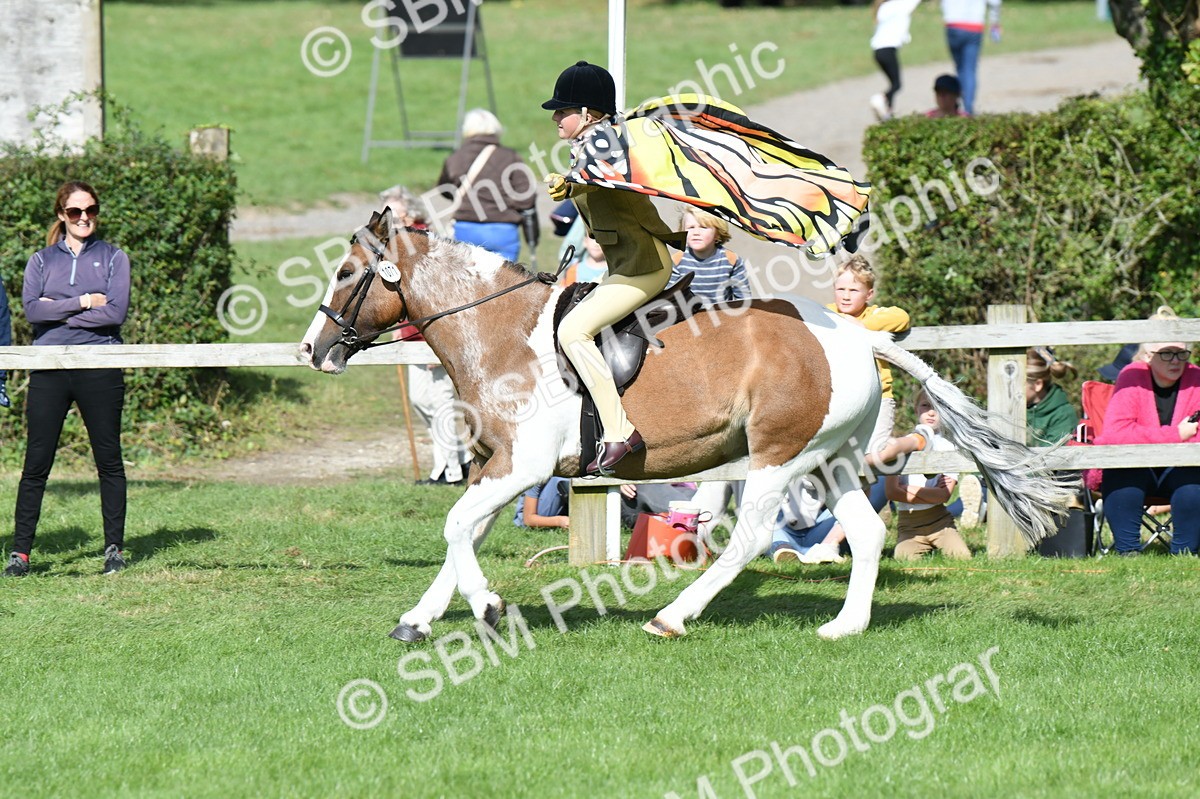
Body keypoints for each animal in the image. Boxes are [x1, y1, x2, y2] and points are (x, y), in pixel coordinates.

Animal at [300, 209, 1076, 642]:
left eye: (343, 273)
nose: (311, 348)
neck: (503, 332)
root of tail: (857, 336)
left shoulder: (522, 466)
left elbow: (457, 526)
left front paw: (488, 607)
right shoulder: (502, 466)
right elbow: (464, 531)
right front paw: (421, 618)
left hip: (776, 456)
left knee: (752, 537)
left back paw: (672, 616)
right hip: (832, 457)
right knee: (867, 531)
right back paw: (845, 626)